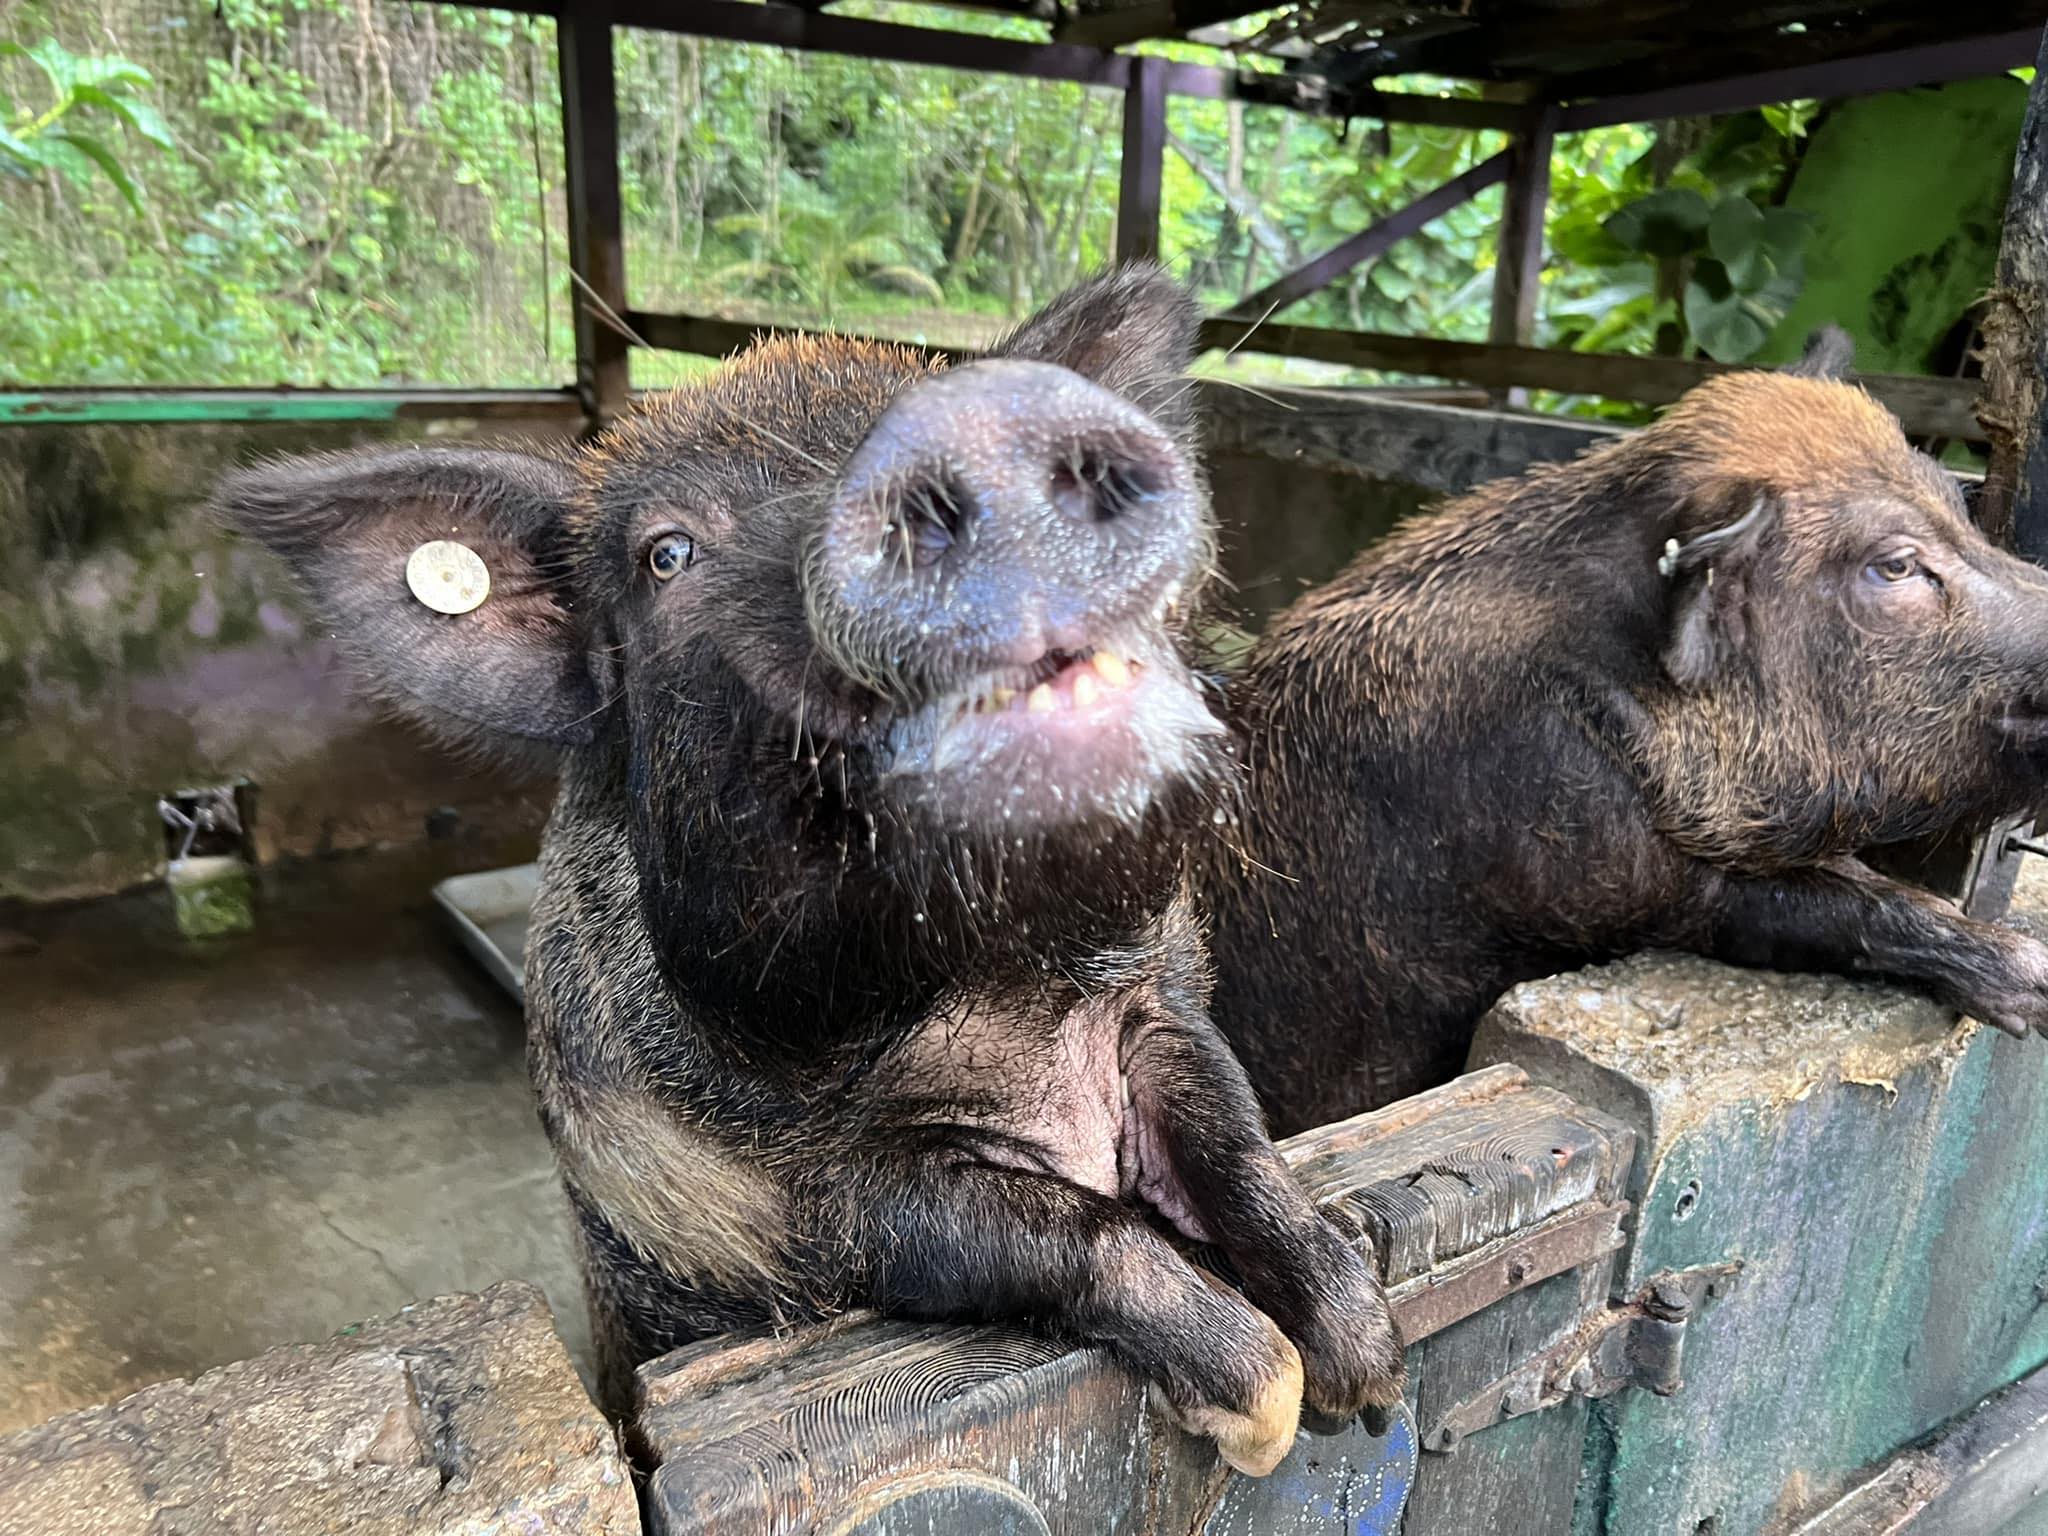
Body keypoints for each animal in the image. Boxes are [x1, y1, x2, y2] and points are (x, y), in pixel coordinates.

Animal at [214, 266, 1402, 1475]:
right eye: (666, 554)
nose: (975, 429)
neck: (1008, 1002)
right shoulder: (803, 1214)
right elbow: (1044, 1226)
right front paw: (1266, 1409)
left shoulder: (1159, 1006)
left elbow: (1232, 1136)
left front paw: (1363, 1372)